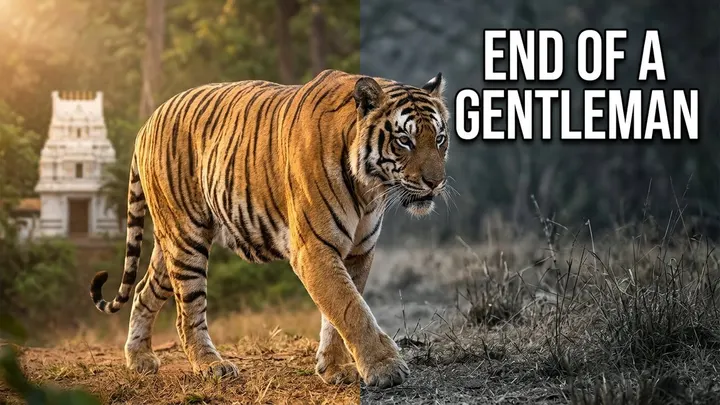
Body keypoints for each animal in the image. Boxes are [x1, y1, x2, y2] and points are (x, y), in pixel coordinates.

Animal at [90, 69, 449, 388]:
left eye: (440, 139)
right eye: (404, 141)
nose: (436, 182)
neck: (369, 189)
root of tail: (148, 122)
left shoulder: (359, 251)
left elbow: (338, 313)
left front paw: (335, 369)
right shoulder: (314, 249)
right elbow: (351, 308)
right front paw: (384, 368)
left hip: (170, 244)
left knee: (143, 291)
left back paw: (139, 359)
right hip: (186, 238)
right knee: (188, 310)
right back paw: (211, 365)